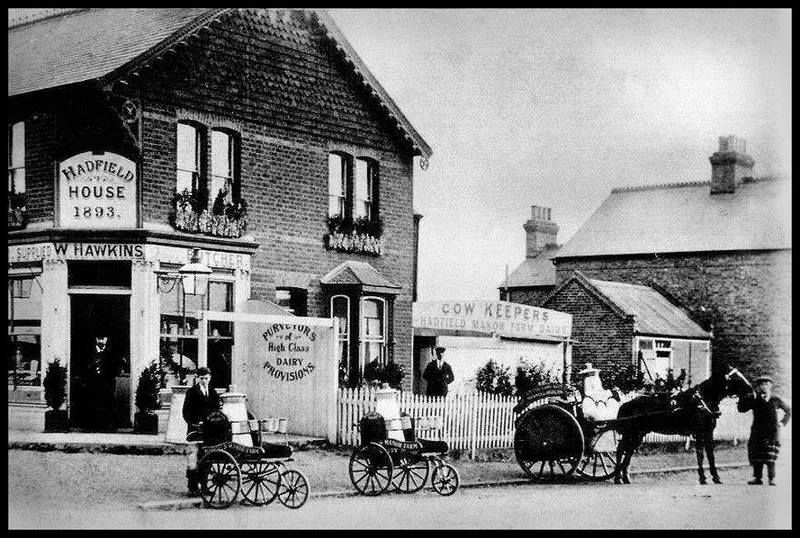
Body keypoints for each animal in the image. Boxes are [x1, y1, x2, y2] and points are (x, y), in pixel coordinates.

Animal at [616, 362, 752, 484]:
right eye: (735, 377)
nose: (750, 390)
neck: (702, 400)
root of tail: (627, 404)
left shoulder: (708, 432)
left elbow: (710, 455)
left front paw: (716, 477)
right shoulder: (699, 433)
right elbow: (700, 454)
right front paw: (703, 478)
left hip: (637, 435)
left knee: (628, 452)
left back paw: (625, 478)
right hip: (632, 433)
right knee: (621, 450)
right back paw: (618, 478)